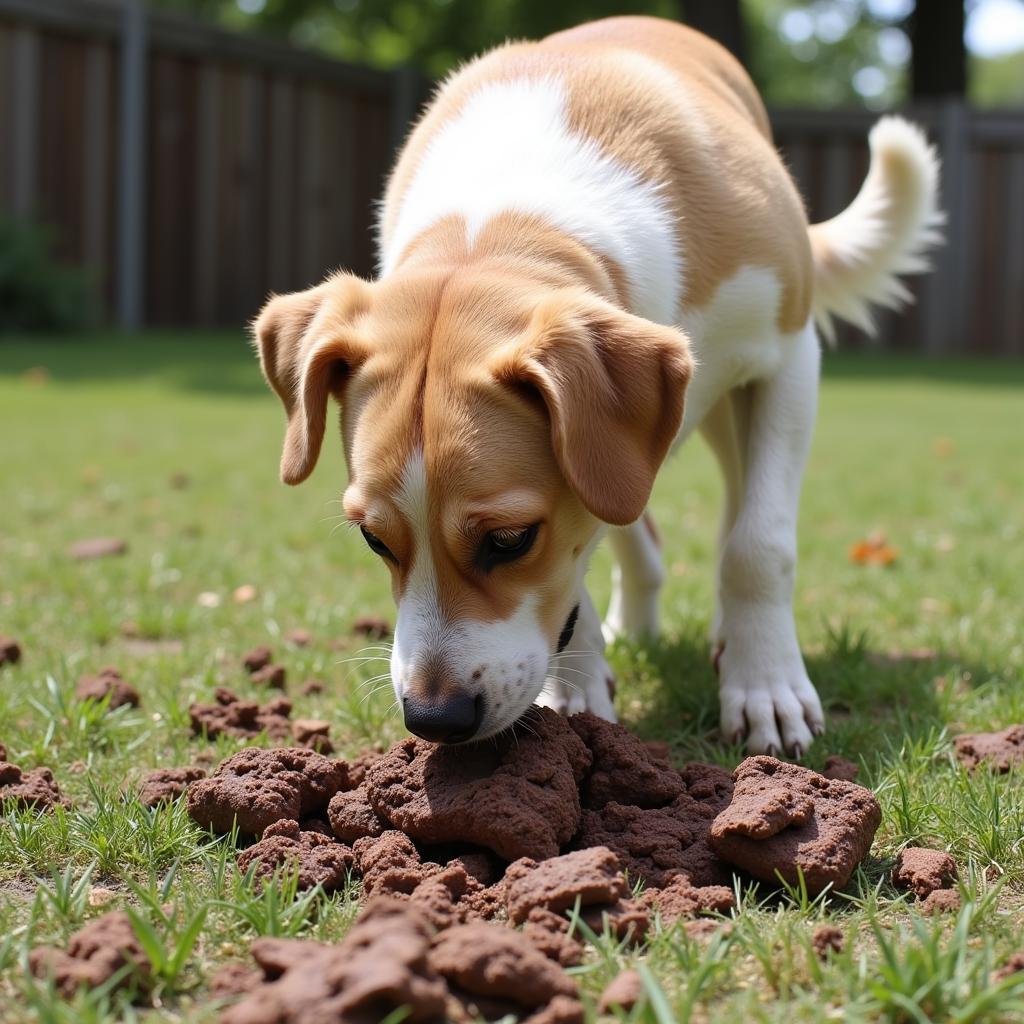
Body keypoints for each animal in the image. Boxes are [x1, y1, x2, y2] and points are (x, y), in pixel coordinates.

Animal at [251, 14, 937, 753]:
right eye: (374, 540)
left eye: (510, 539)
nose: (434, 720)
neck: (508, 214)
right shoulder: (595, 470)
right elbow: (586, 554)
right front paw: (576, 692)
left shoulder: (788, 357)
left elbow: (758, 544)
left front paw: (767, 689)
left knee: (735, 505)